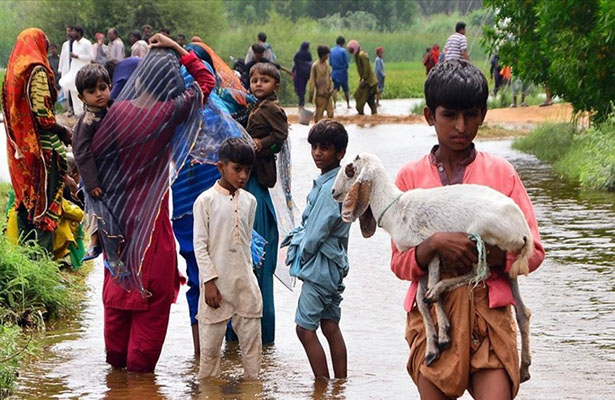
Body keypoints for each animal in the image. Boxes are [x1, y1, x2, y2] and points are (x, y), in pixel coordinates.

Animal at [332, 154, 536, 384]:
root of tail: (523, 232)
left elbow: (428, 289)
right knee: (522, 311)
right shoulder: (420, 258)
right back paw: (524, 368)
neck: (398, 208)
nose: (333, 192)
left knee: (483, 273)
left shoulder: (434, 248)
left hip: (479, 236)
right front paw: (432, 349)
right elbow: (420, 301)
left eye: (350, 169)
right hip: (508, 265)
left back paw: (439, 289)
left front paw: (444, 336)